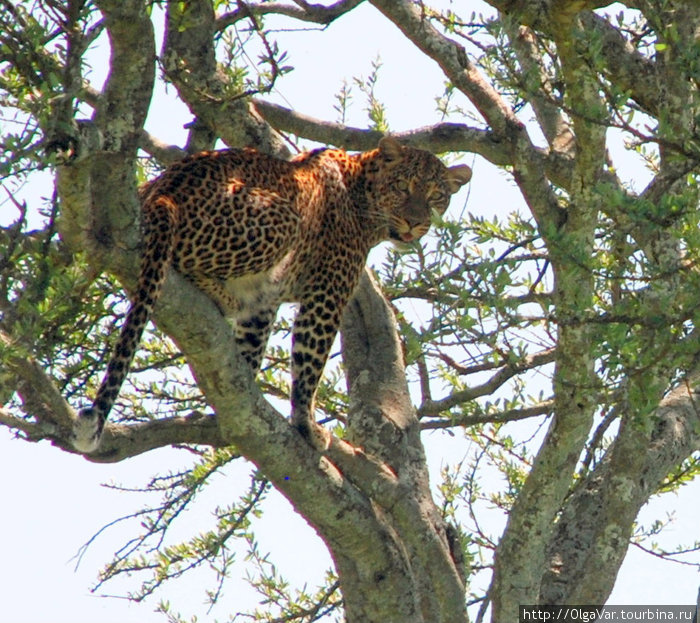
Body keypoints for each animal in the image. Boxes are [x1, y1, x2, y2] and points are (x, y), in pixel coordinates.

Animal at [71, 136, 470, 454]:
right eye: (402, 186)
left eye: (436, 197)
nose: (416, 222)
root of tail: (165, 190)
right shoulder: (327, 294)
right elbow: (309, 363)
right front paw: (307, 426)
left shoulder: (263, 301)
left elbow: (252, 343)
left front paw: (241, 387)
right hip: (284, 218)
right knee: (183, 260)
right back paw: (223, 298)